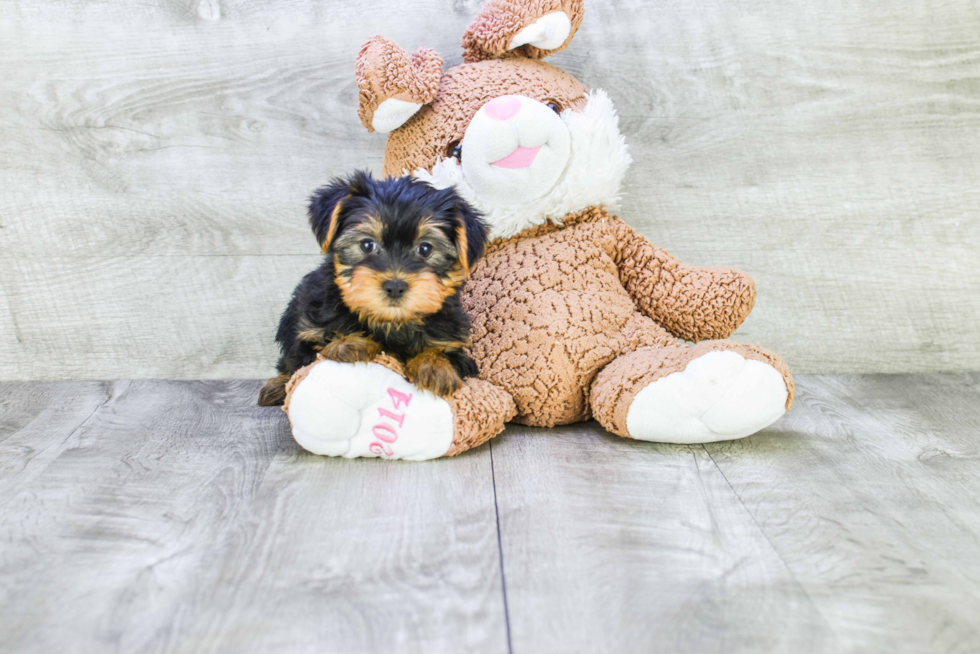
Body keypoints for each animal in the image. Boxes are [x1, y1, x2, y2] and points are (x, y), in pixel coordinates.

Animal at [258, 172, 488, 408]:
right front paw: (348, 343)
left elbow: (445, 354)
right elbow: (309, 355)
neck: (390, 322)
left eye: (425, 248)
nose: (395, 286)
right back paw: (276, 387)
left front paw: (434, 367)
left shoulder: (454, 343)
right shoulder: (309, 333)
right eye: (367, 245)